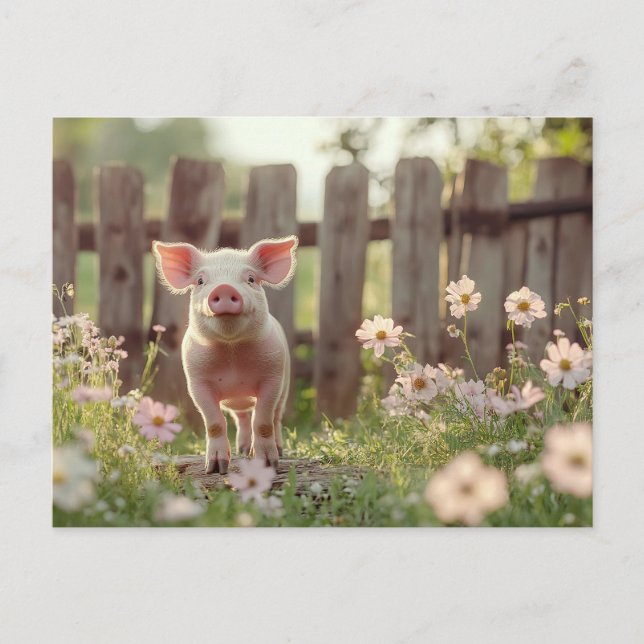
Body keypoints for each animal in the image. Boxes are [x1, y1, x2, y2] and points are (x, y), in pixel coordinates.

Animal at [152, 236, 298, 475]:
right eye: (201, 281)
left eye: (251, 278)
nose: (224, 288)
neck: (231, 353)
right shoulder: (196, 382)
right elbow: (214, 423)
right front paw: (214, 470)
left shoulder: (273, 376)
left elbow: (263, 422)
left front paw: (268, 466)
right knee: (242, 418)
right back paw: (243, 450)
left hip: (285, 387)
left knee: (275, 418)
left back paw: (277, 451)